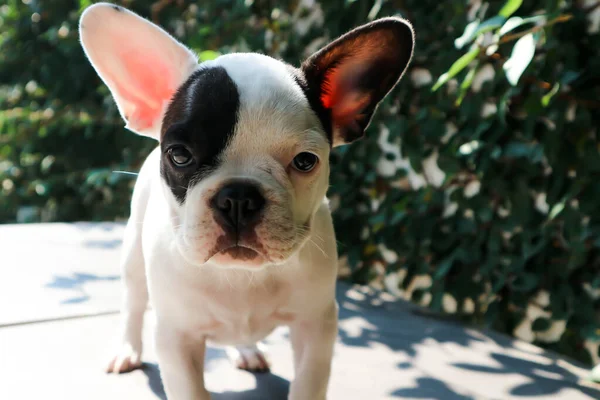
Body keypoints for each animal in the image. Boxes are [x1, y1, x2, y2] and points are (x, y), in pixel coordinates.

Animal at [78, 3, 412, 400]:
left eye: (305, 161)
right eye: (179, 155)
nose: (238, 197)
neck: (240, 276)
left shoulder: (315, 327)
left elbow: (308, 383)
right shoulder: (177, 336)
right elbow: (189, 387)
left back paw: (247, 350)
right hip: (132, 255)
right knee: (133, 301)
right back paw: (127, 350)